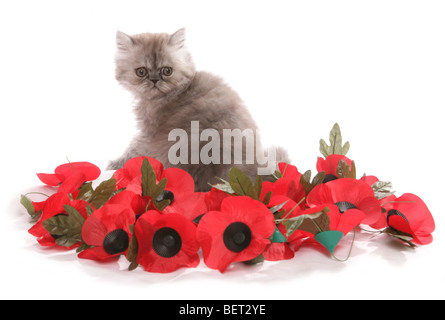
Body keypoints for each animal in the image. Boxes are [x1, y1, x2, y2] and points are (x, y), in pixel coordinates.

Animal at [106, 28, 290, 190]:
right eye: (141, 72)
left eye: (167, 71)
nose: (154, 80)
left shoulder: (149, 133)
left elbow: (134, 149)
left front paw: (115, 164)